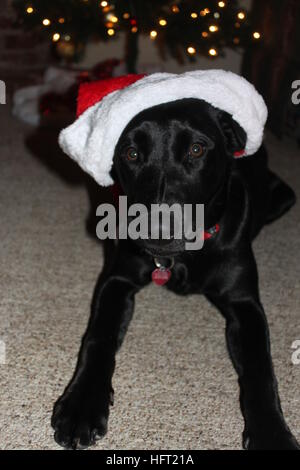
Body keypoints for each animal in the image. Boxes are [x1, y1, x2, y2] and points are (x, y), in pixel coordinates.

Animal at [51, 98, 298, 448]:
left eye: (196, 149)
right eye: (131, 153)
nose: (156, 229)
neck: (181, 257)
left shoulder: (245, 304)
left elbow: (260, 365)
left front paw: (271, 432)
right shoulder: (117, 281)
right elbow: (97, 337)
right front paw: (82, 405)